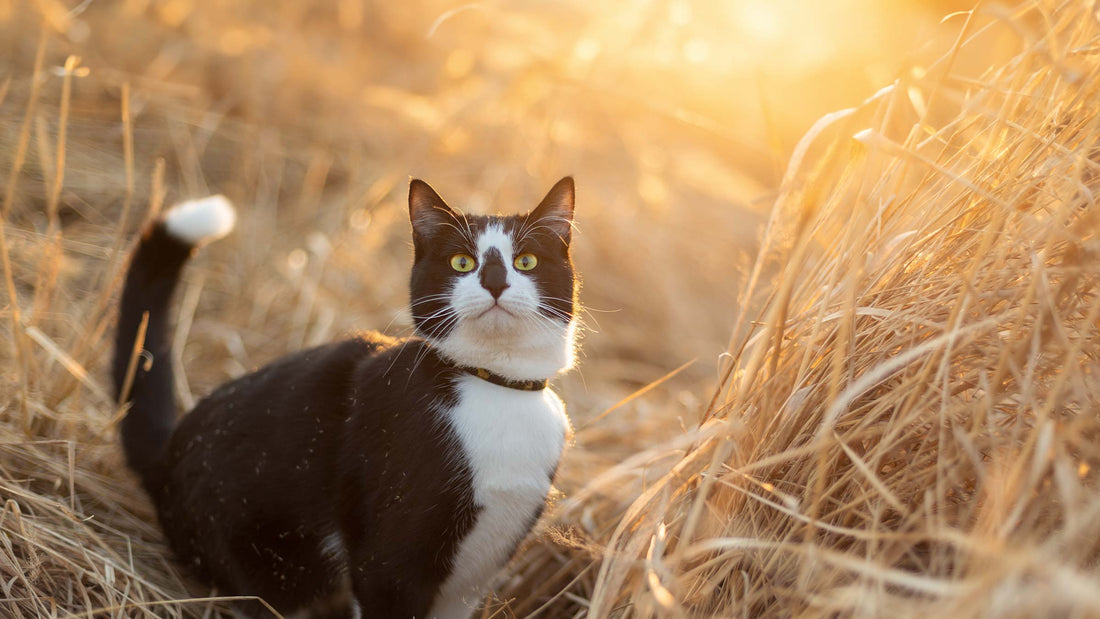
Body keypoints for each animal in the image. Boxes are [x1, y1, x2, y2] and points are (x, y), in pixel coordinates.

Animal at [109, 177, 576, 615]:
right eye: (462, 261)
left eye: (526, 261)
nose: (495, 281)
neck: (495, 387)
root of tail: (167, 453)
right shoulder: (387, 565)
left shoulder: (474, 576)